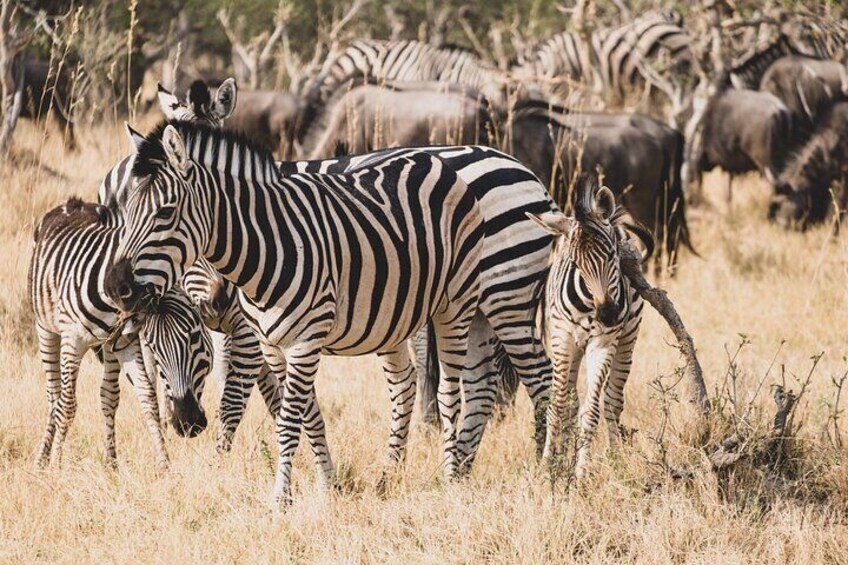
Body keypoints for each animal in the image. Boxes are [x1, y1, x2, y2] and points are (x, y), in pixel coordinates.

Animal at [28, 196, 214, 470]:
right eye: (155, 350)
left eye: (194, 339)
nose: (187, 423)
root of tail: (73, 204)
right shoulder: (73, 339)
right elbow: (67, 405)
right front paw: (57, 465)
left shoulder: (126, 340)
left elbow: (147, 398)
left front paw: (164, 465)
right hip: (46, 329)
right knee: (54, 396)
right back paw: (43, 459)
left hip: (109, 343)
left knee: (108, 396)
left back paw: (111, 463)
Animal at [528, 172, 652, 476]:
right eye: (575, 263)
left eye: (611, 256)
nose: (608, 314)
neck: (588, 303)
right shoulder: (562, 338)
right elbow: (558, 404)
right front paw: (549, 466)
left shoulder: (603, 343)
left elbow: (593, 409)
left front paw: (581, 472)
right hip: (570, 347)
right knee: (571, 400)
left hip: (627, 339)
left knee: (612, 400)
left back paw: (617, 459)